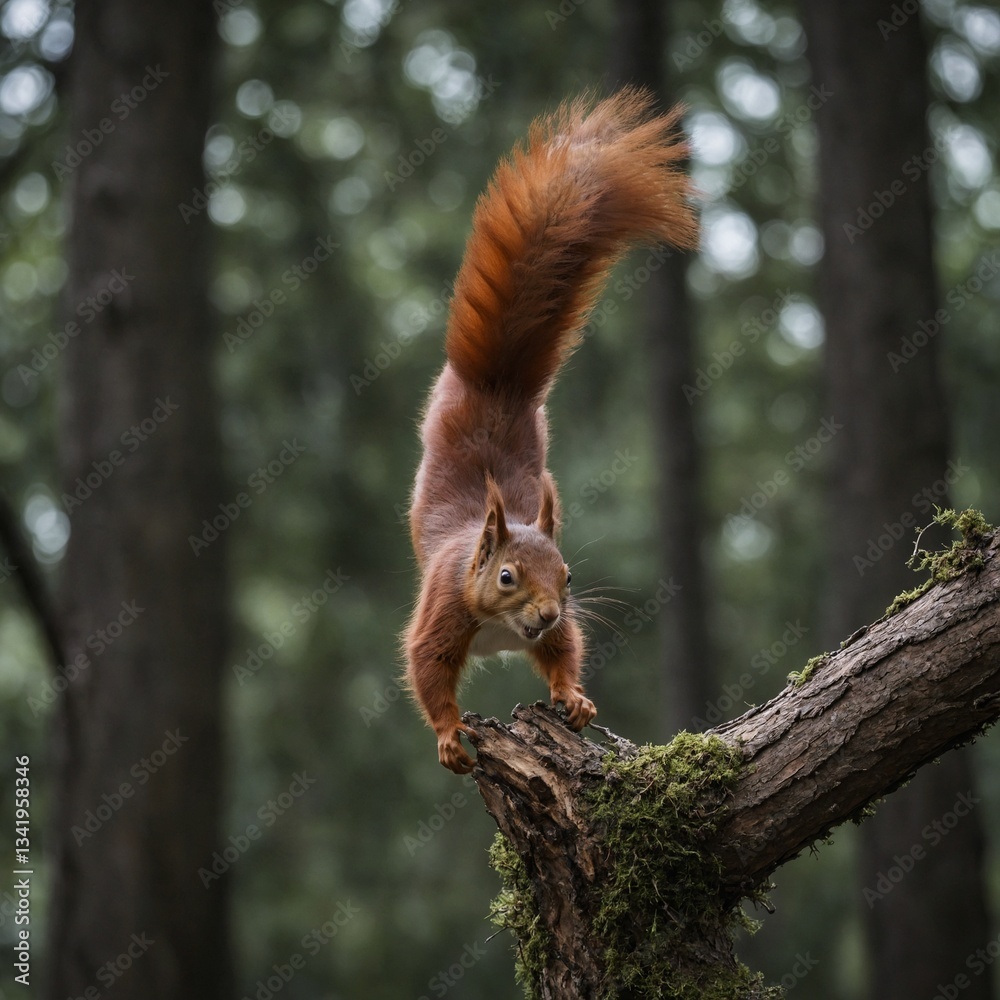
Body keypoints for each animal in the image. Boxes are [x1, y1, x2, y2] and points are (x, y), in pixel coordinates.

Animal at [402, 88, 698, 773]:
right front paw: (450, 736)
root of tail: (499, 382)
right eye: (506, 577)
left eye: (569, 577)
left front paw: (576, 701)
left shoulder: (558, 627)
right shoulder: (442, 610)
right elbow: (426, 669)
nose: (544, 610)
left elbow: (563, 650)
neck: (500, 626)